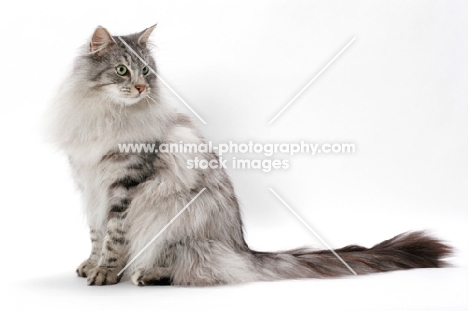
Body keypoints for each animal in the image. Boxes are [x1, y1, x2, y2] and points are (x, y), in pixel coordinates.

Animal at [45, 25, 452, 286]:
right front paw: (91, 265)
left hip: (176, 215)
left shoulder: (126, 183)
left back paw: (148, 273)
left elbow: (114, 236)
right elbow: (96, 232)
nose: (142, 87)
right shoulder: (90, 184)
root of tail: (241, 248)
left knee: (192, 265)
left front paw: (107, 272)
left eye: (146, 70)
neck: (105, 115)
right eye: (121, 70)